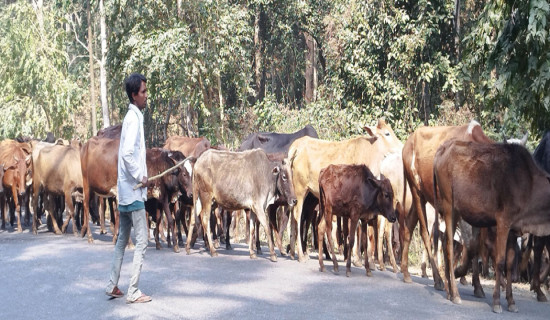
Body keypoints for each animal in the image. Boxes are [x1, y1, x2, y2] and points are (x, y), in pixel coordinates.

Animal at [288, 119, 402, 262]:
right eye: (387, 133)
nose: (402, 146)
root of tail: (297, 146)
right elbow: (355, 225)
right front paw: (356, 258)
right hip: (300, 189)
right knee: (297, 216)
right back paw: (301, 254)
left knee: (293, 216)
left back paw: (293, 252)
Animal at [402, 120, 496, 290]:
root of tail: (409, 141)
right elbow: (466, 244)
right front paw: (455, 275)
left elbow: (473, 245)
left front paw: (477, 285)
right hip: (416, 191)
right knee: (425, 233)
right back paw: (437, 279)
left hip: (421, 196)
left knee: (409, 225)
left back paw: (406, 272)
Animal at [434, 141, 550, 314]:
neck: (530, 184)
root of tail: (442, 149)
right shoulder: (503, 222)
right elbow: (500, 261)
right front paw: (497, 302)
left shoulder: (513, 231)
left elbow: (509, 263)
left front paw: (511, 301)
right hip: (449, 207)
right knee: (449, 247)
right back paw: (455, 294)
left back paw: (449, 291)